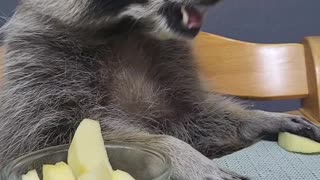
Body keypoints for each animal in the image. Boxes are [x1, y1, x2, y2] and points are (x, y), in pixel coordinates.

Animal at [0, 0, 318, 179]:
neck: (129, 31)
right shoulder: (40, 63)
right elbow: (55, 135)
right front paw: (179, 152)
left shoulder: (172, 64)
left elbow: (192, 116)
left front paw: (259, 118)